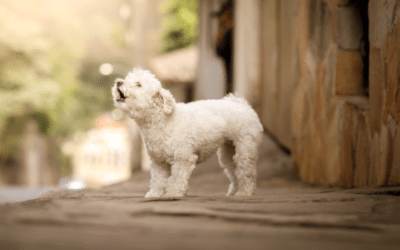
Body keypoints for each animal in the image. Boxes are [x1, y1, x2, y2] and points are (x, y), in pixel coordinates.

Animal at [111, 68, 262, 197]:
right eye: (126, 79)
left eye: (138, 84)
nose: (118, 82)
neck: (161, 120)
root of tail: (242, 104)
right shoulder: (158, 161)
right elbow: (158, 180)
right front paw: (155, 194)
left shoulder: (183, 158)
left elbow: (177, 179)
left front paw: (172, 194)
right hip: (228, 152)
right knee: (233, 170)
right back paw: (234, 191)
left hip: (245, 148)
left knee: (246, 171)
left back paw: (244, 192)